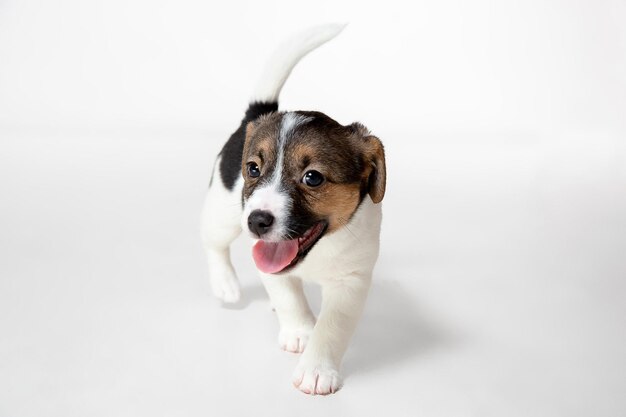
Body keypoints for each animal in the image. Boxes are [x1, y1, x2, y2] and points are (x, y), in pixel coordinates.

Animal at [202, 24, 382, 394]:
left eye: (312, 177)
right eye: (253, 169)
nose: (256, 221)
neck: (318, 249)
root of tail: (254, 117)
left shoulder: (351, 281)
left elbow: (332, 328)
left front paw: (317, 369)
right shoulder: (269, 262)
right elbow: (289, 298)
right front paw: (300, 332)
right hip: (223, 210)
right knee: (211, 239)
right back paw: (225, 282)